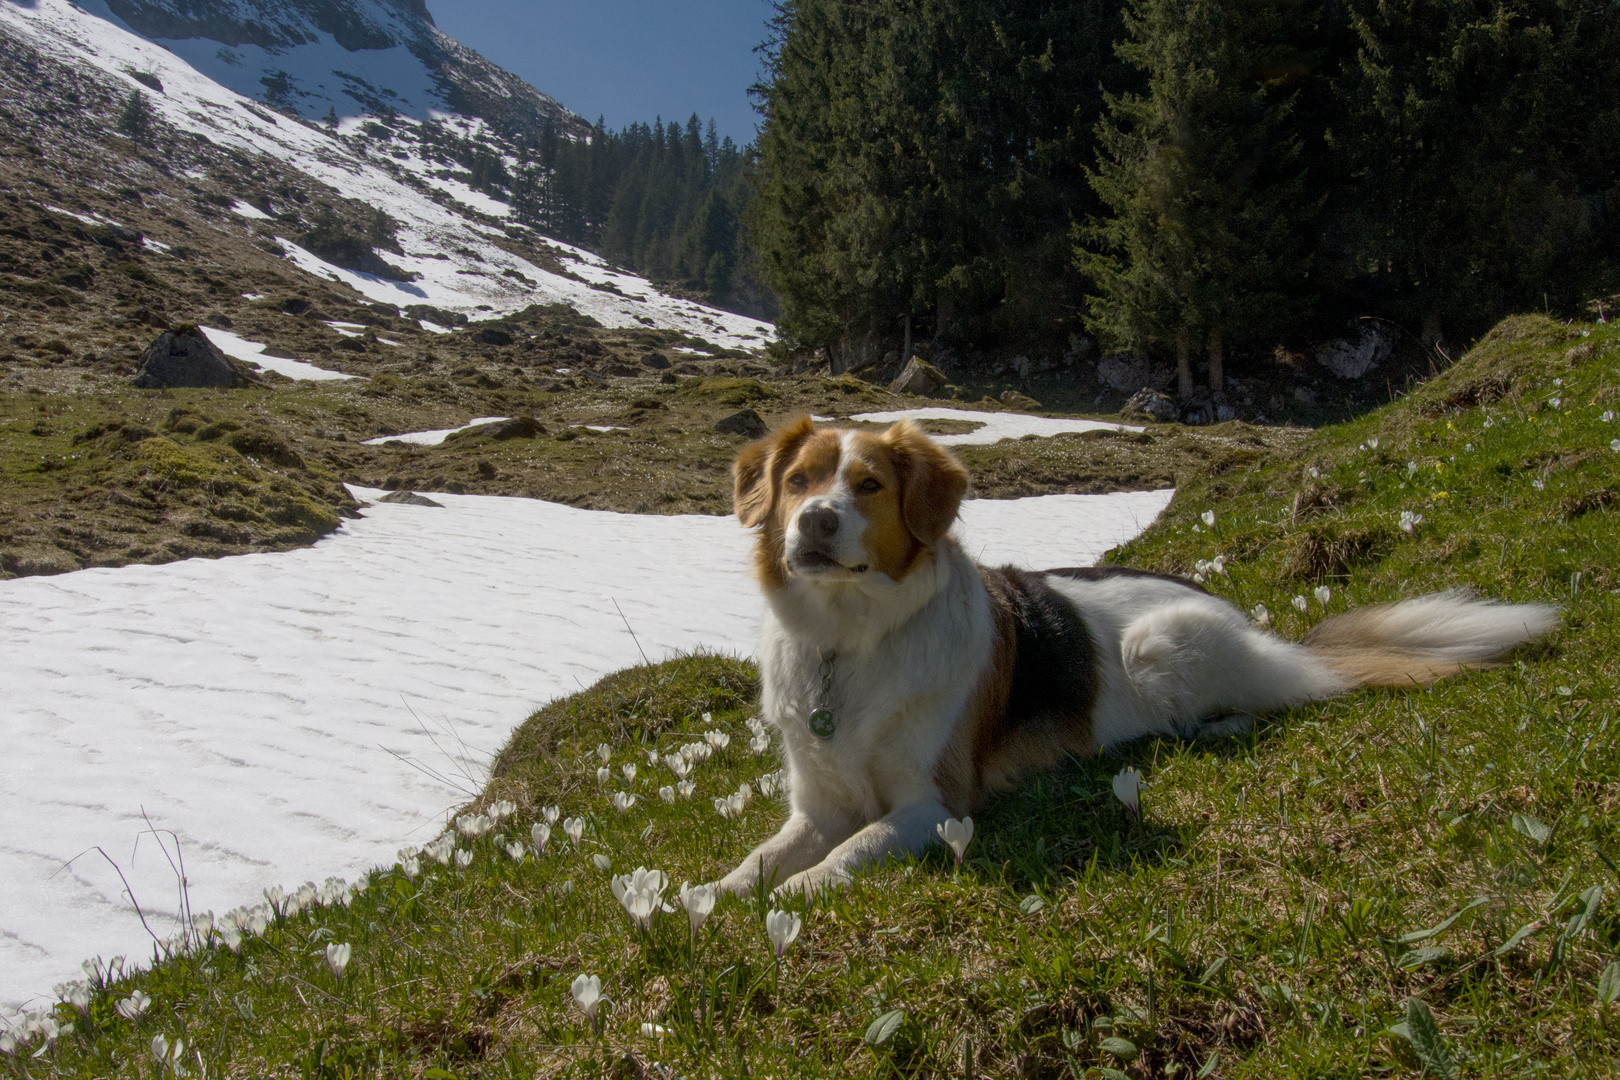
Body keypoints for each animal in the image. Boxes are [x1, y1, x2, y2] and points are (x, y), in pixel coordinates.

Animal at [719, 414, 1555, 893]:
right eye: (798, 481)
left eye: (867, 485)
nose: (816, 521)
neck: (846, 643)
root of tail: (1256, 624)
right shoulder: (818, 804)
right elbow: (761, 857)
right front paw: (708, 901)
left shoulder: (934, 804)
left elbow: (850, 851)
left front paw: (793, 899)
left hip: (1162, 645)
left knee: (1278, 697)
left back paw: (1218, 725)